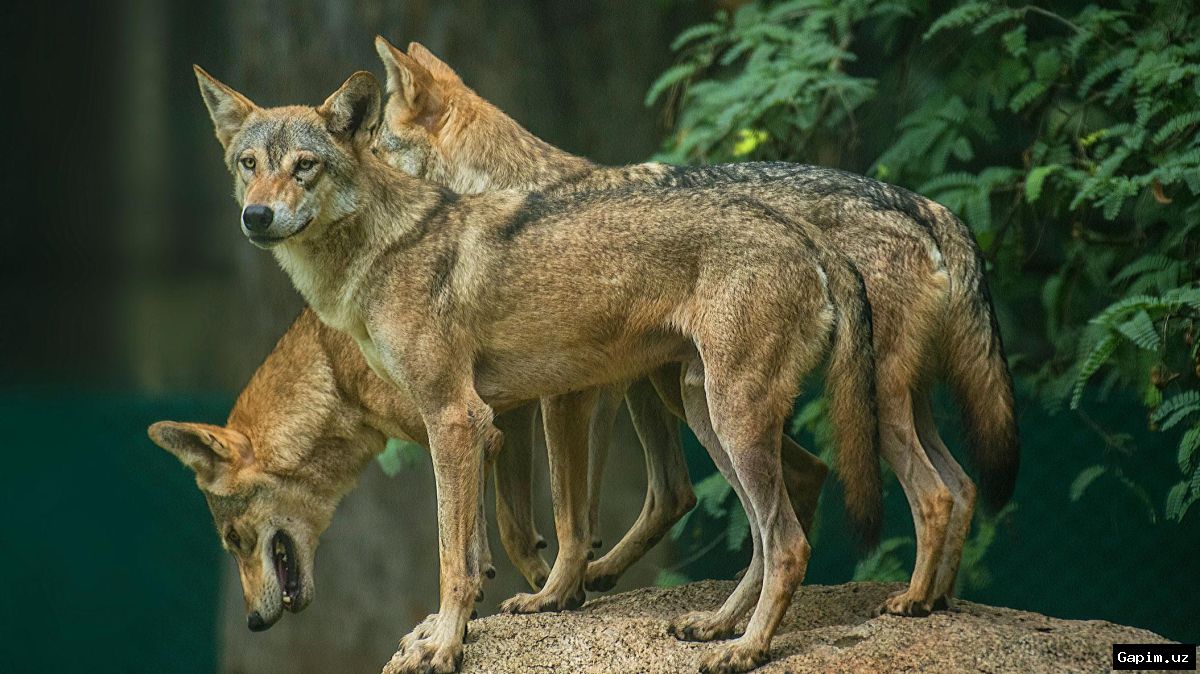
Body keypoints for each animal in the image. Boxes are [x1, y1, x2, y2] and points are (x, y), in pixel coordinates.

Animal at [194, 66, 880, 674]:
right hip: (705, 414)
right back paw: (717, 626)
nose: (256, 217)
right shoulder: (484, 425)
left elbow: (457, 559)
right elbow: (482, 547)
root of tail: (806, 236)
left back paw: (747, 649)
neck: (378, 254)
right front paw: (466, 628)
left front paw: (444, 647)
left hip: (728, 419)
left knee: (787, 543)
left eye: (303, 166)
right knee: (763, 535)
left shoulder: (457, 419)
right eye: (248, 165)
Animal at [372, 37, 1020, 618]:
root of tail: (928, 207)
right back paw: (931, 599)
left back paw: (907, 600)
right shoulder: (535, 401)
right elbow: (519, 521)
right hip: (701, 392)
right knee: (953, 485)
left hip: (833, 403)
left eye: (373, 145)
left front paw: (551, 593)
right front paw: (544, 584)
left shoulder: (566, 398)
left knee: (930, 493)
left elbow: (567, 515)